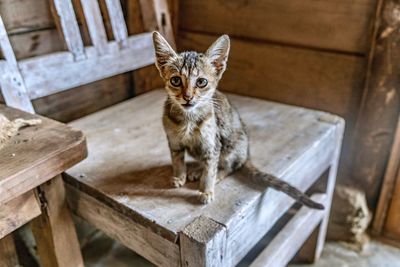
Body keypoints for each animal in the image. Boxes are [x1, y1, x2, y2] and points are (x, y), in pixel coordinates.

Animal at [152, 31, 324, 209]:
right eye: (176, 80)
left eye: (201, 82)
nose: (188, 97)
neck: (189, 119)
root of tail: (246, 154)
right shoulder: (174, 142)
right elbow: (177, 161)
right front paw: (179, 176)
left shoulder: (212, 145)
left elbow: (210, 170)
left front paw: (207, 190)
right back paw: (197, 170)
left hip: (230, 146)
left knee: (229, 167)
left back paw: (212, 175)